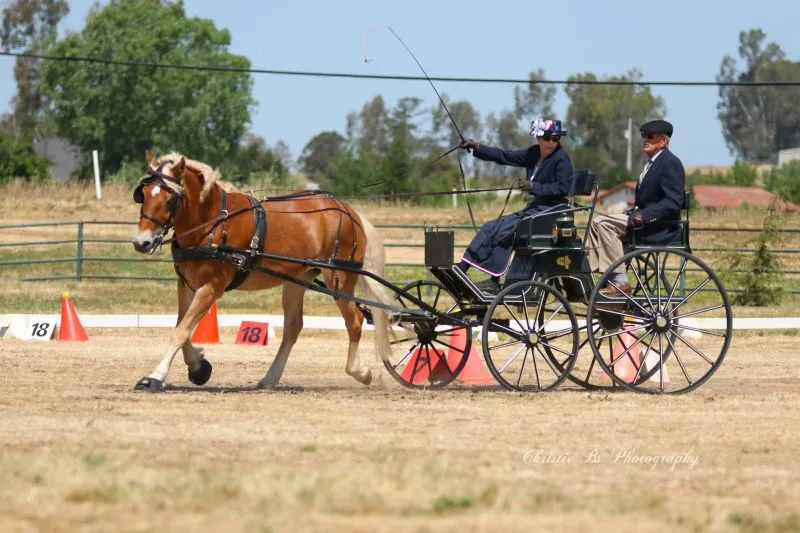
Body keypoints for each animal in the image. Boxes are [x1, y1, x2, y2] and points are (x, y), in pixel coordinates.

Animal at [131, 151, 396, 390]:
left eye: (169, 199)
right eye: (142, 195)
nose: (141, 242)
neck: (212, 222)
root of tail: (349, 210)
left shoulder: (211, 287)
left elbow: (181, 331)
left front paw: (155, 377)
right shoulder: (186, 284)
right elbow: (182, 329)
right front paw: (199, 367)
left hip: (339, 278)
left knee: (355, 321)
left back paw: (360, 372)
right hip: (297, 280)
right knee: (293, 327)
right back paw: (270, 378)